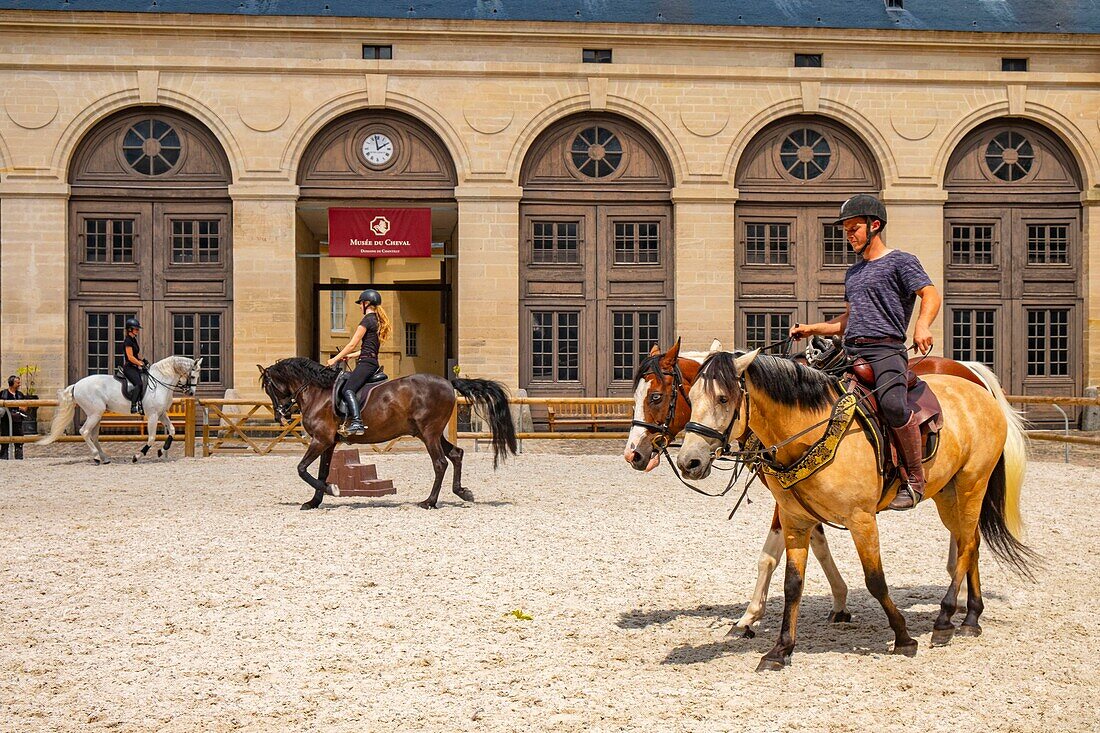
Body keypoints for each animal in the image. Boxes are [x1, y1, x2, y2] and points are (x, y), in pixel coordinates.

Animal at [38, 354, 203, 462]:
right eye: (193, 376)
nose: (191, 393)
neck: (160, 382)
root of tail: (76, 385)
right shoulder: (153, 415)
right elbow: (151, 438)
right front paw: (137, 456)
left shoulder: (162, 414)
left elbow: (173, 431)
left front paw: (161, 451)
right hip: (94, 414)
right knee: (84, 432)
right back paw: (96, 457)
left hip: (97, 415)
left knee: (93, 436)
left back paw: (104, 458)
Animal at [259, 358, 517, 508]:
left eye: (269, 387)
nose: (280, 416)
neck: (317, 391)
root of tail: (447, 382)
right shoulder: (329, 442)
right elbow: (322, 472)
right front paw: (314, 501)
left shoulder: (321, 440)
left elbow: (302, 469)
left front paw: (333, 490)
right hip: (428, 433)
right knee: (456, 454)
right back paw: (462, 492)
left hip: (429, 433)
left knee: (440, 463)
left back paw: (429, 502)